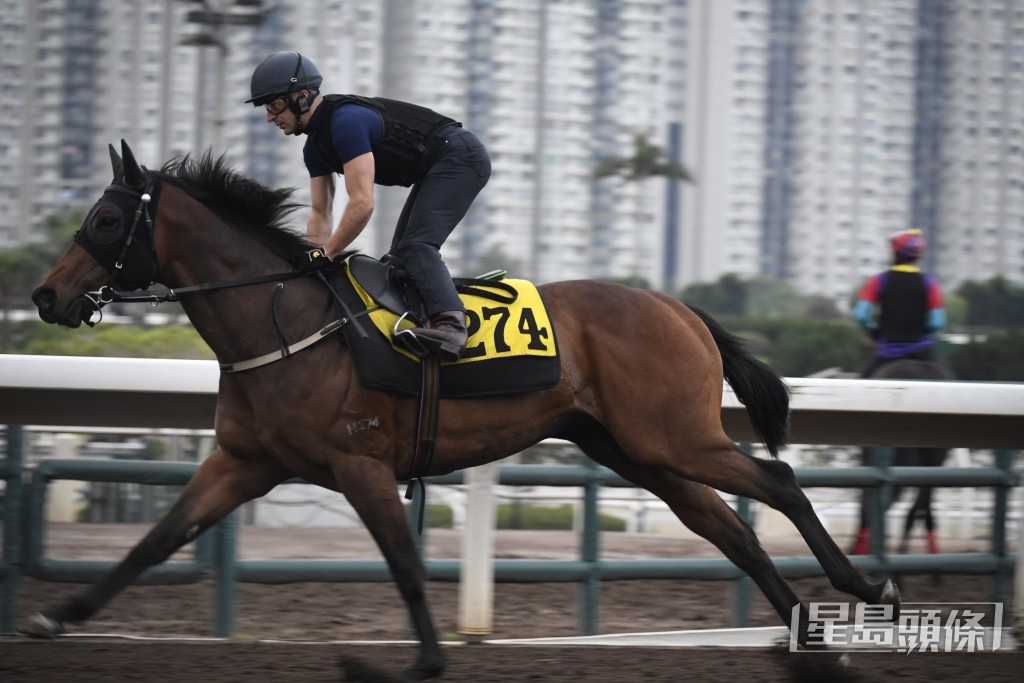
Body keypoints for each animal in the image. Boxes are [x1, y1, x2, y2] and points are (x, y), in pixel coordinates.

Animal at [27, 140, 898, 680]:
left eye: (107, 218)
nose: (45, 295)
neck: (283, 321)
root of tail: (678, 307)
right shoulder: (244, 462)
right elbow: (155, 541)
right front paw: (57, 617)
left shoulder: (360, 463)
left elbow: (406, 565)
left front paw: (423, 659)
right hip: (639, 452)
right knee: (732, 534)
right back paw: (812, 642)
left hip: (674, 436)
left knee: (778, 485)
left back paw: (864, 587)